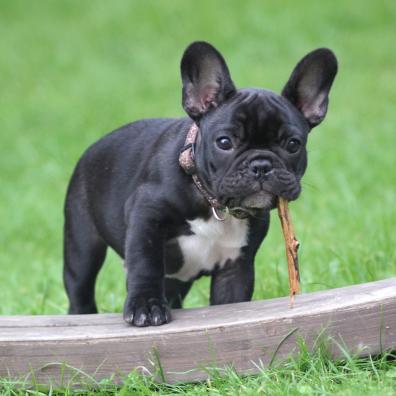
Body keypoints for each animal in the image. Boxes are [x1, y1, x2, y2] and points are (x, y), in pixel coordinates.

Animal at [62, 40, 338, 326]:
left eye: (293, 144)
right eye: (224, 142)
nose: (261, 165)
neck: (211, 202)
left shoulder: (235, 267)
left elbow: (233, 301)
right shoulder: (145, 216)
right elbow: (145, 263)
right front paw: (146, 305)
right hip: (82, 245)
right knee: (80, 288)